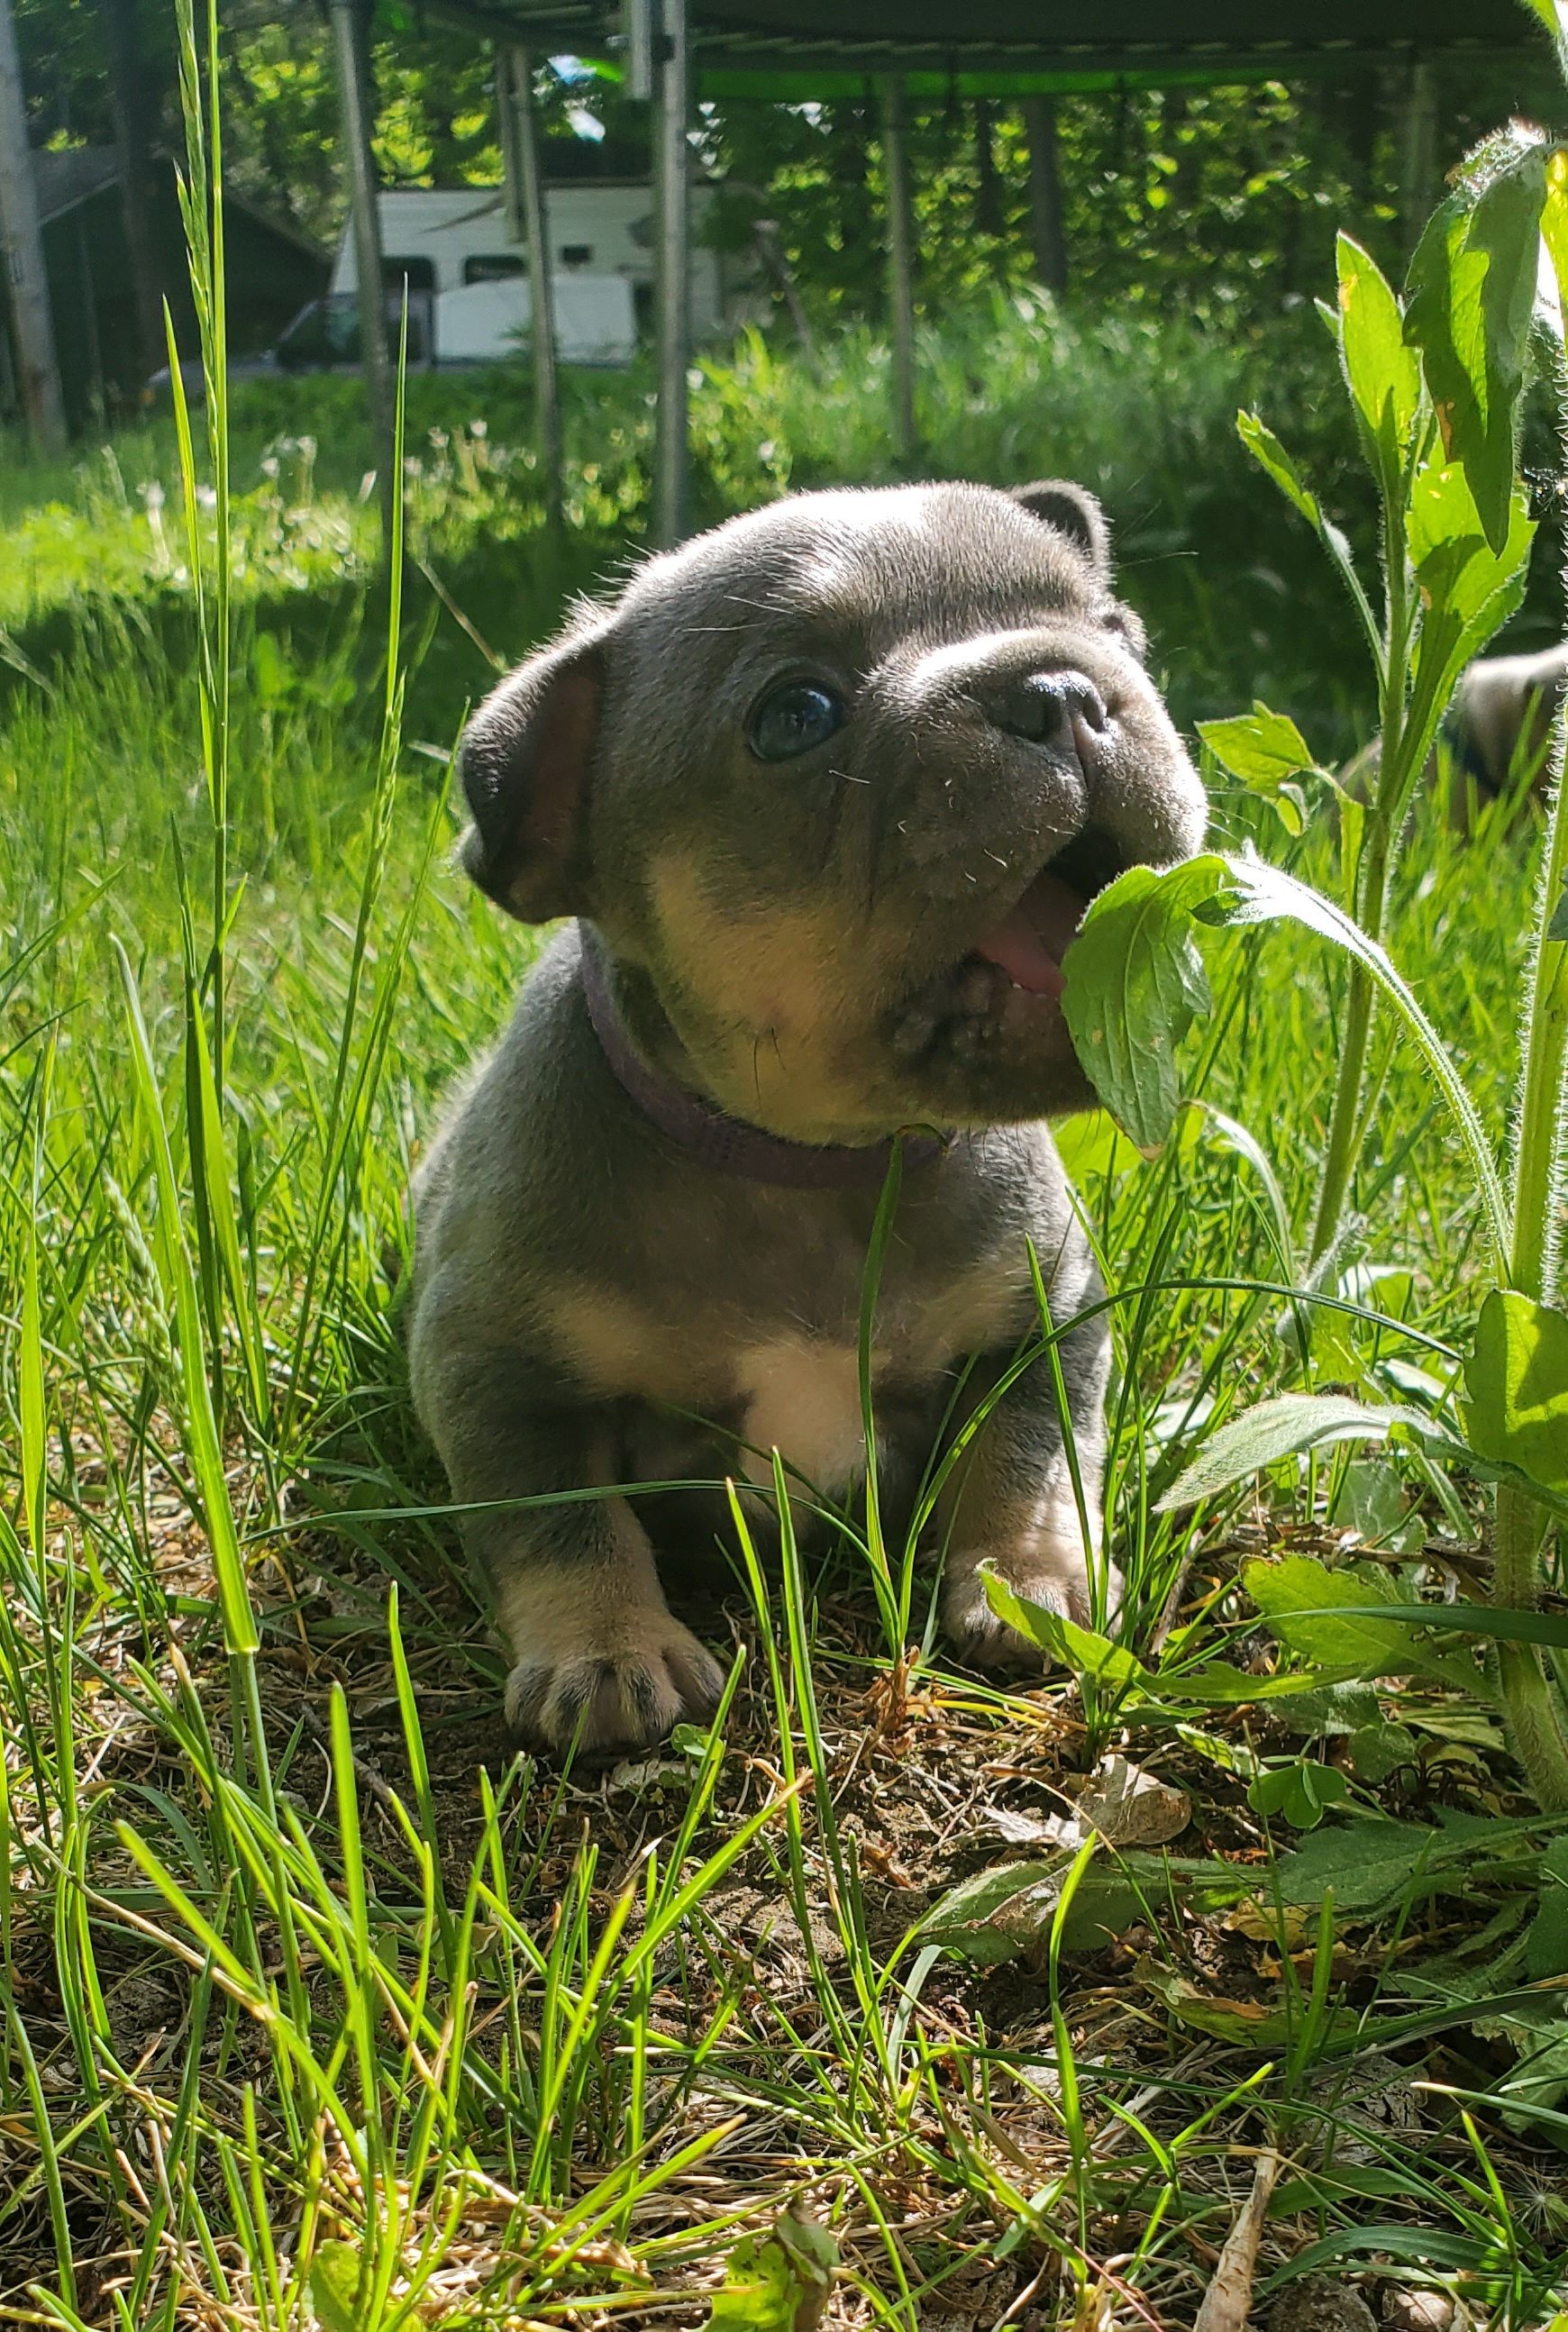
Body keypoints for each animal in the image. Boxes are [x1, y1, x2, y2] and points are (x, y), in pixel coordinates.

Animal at [410, 478, 1204, 1754]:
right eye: (796, 716)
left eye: (1122, 634)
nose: (1068, 690)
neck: (823, 1162)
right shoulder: (497, 1367)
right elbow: (563, 1514)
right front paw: (606, 1648)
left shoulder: (1047, 1316)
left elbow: (1028, 1451)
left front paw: (1029, 1583)